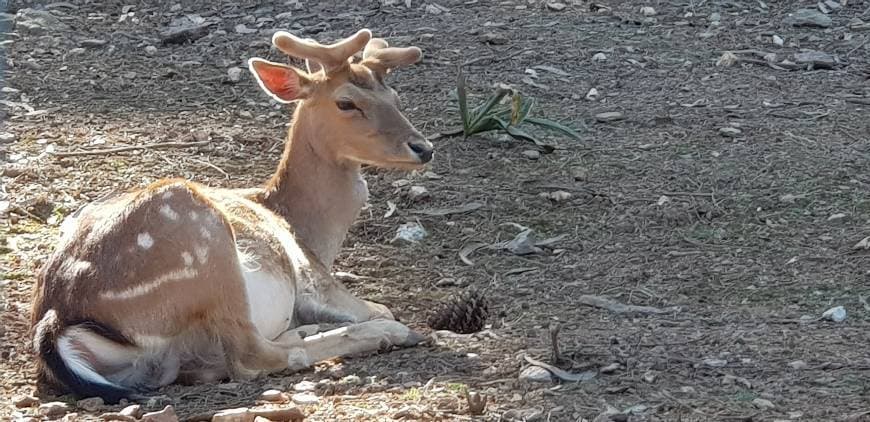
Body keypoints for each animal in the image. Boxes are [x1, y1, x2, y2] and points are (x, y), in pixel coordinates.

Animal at [29, 28, 436, 404]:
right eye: (346, 103)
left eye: (395, 98)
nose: (423, 147)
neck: (302, 225)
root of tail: (56, 318)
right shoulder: (312, 277)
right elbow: (377, 306)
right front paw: (388, 323)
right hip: (207, 250)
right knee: (254, 356)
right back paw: (390, 334)